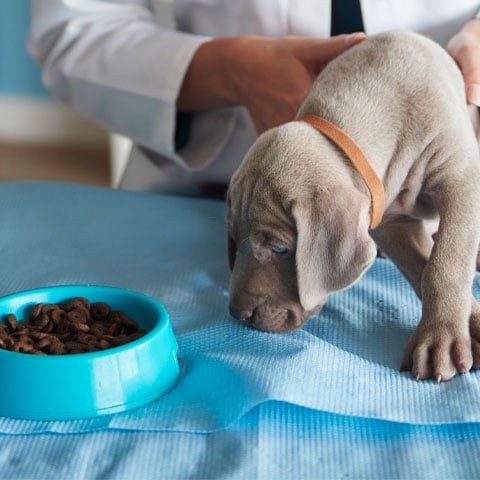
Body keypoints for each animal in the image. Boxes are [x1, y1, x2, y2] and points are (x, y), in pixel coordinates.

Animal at [227, 30, 480, 382]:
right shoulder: (391, 220)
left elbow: (447, 261)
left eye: (280, 250)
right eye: (234, 242)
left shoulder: (461, 176)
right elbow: (422, 267)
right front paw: (469, 323)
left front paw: (439, 338)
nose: (237, 312)